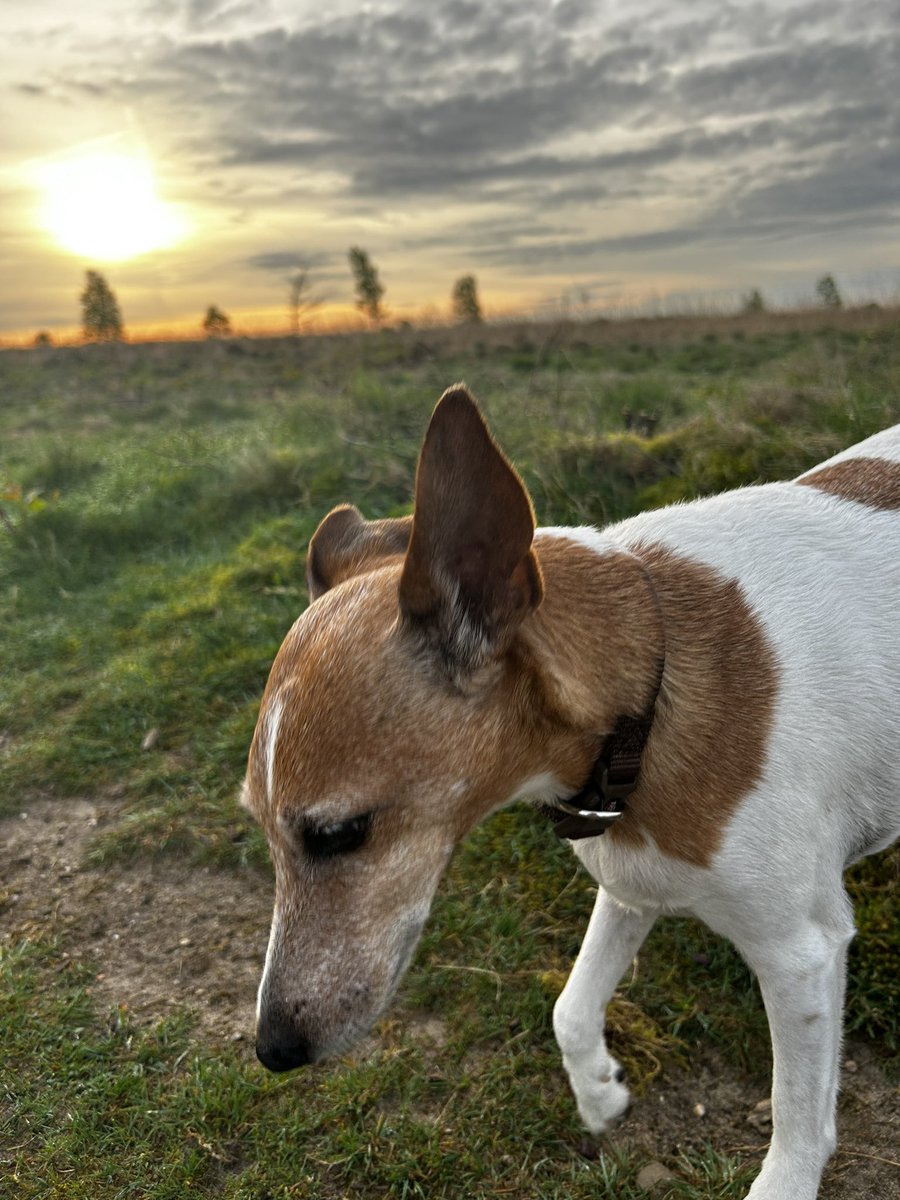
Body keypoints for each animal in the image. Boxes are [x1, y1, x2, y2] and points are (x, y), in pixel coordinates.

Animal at [241, 386, 900, 1200]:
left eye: (339, 833)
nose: (271, 1049)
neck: (653, 684)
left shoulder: (800, 954)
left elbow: (798, 1126)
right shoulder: (632, 881)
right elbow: (570, 1007)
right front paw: (597, 1091)